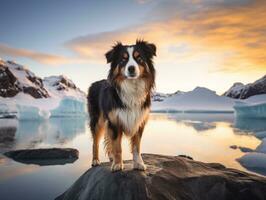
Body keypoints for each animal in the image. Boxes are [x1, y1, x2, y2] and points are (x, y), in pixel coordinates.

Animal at [87, 39, 156, 172]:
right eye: (123, 60)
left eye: (139, 58)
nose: (131, 68)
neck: (132, 87)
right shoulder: (114, 121)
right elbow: (117, 146)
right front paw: (118, 164)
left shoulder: (138, 121)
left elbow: (136, 146)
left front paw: (139, 163)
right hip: (97, 119)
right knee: (95, 142)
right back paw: (95, 160)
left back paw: (111, 157)